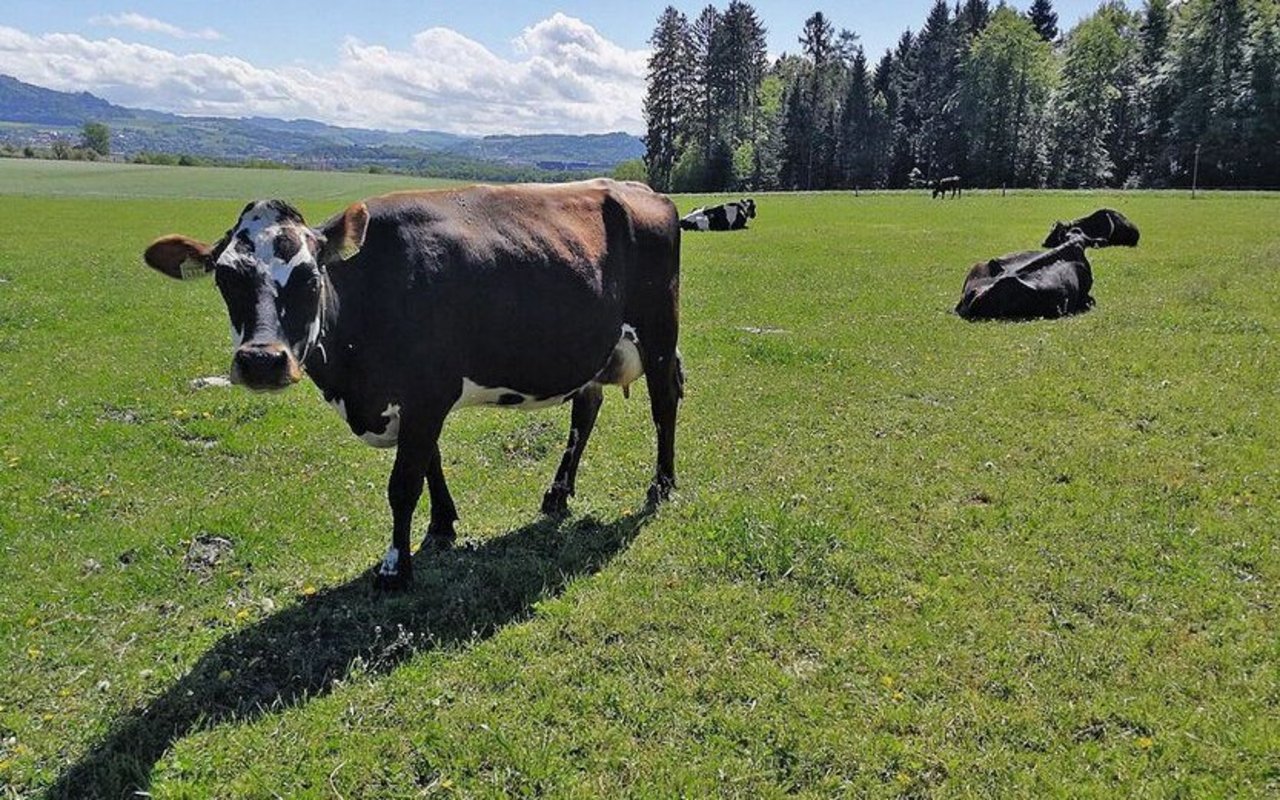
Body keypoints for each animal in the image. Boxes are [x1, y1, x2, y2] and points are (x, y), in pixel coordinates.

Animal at [144, 183, 686, 593]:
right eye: (225, 279)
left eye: (310, 278)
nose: (261, 361)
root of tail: (640, 189)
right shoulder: (415, 401)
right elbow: (430, 464)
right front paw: (442, 525)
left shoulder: (427, 394)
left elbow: (403, 483)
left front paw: (394, 566)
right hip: (593, 349)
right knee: (586, 408)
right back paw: (558, 492)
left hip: (659, 332)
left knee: (663, 404)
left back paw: (661, 485)